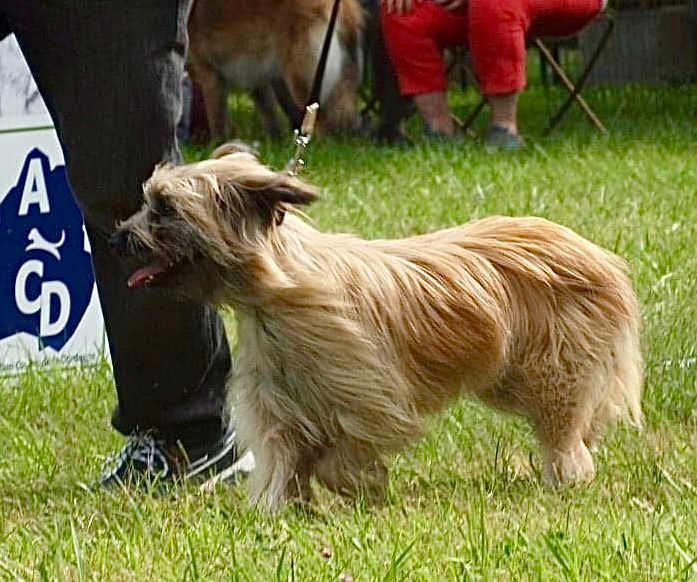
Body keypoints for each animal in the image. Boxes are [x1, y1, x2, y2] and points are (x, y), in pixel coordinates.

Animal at [113, 145, 640, 512]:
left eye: (165, 209)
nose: (118, 238)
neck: (275, 295)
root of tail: (596, 255)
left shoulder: (368, 396)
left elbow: (342, 453)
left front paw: (363, 485)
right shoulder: (280, 406)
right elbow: (286, 459)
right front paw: (282, 509)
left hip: (552, 371)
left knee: (564, 431)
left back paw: (567, 475)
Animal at [188, 0, 368, 140]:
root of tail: (344, 8)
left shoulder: (208, 73)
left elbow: (217, 118)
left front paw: (218, 145)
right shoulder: (256, 77)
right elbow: (268, 113)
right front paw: (275, 141)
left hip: (300, 79)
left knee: (322, 124)